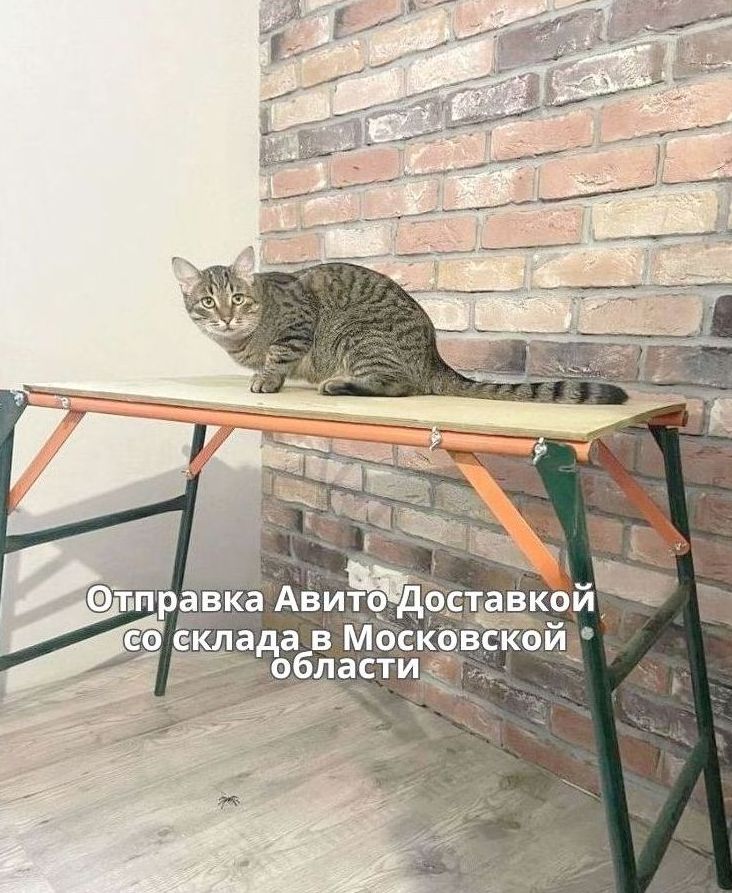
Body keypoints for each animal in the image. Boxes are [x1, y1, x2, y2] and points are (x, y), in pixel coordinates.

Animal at [172, 246, 627, 405]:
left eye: (238, 298)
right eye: (208, 302)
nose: (226, 317)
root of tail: (433, 358)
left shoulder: (300, 319)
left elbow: (278, 355)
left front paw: (267, 378)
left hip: (359, 335)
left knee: (397, 386)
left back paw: (339, 384)